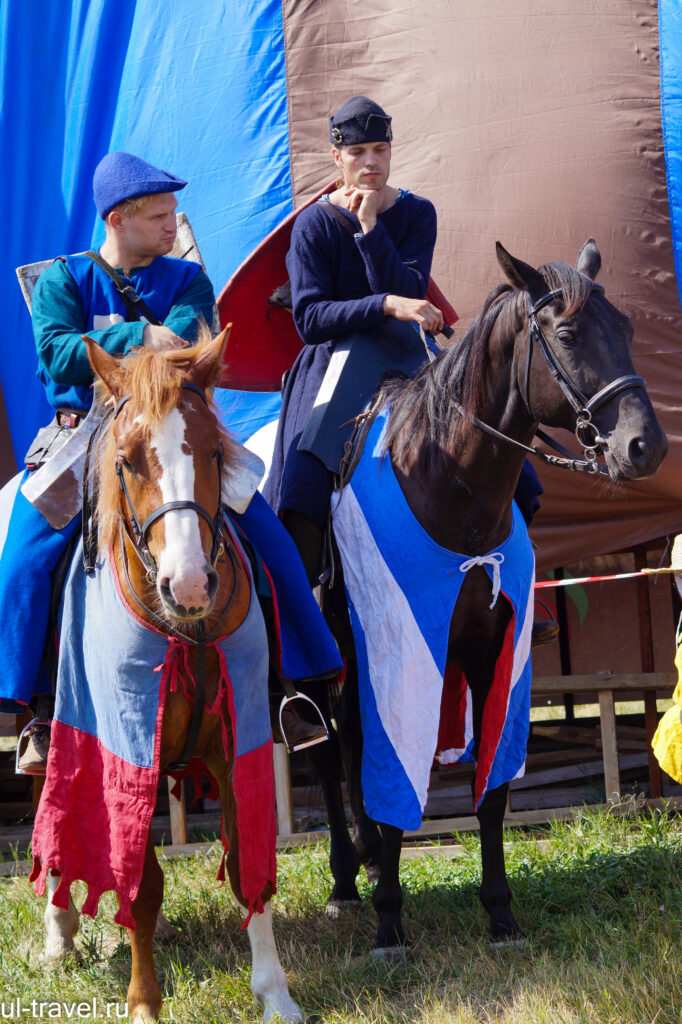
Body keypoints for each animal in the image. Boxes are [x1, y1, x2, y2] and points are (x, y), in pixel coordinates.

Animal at [29, 327, 301, 1024]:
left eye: (214, 451)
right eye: (126, 460)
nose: (190, 585)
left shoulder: (238, 745)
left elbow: (246, 866)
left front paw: (275, 993)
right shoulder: (126, 751)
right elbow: (143, 883)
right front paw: (144, 1001)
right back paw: (59, 930)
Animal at [305, 239, 667, 958]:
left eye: (628, 329)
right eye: (567, 334)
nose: (645, 447)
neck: (449, 487)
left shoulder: (490, 651)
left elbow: (492, 792)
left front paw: (500, 915)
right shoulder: (397, 656)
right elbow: (393, 783)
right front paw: (390, 923)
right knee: (335, 754)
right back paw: (345, 884)